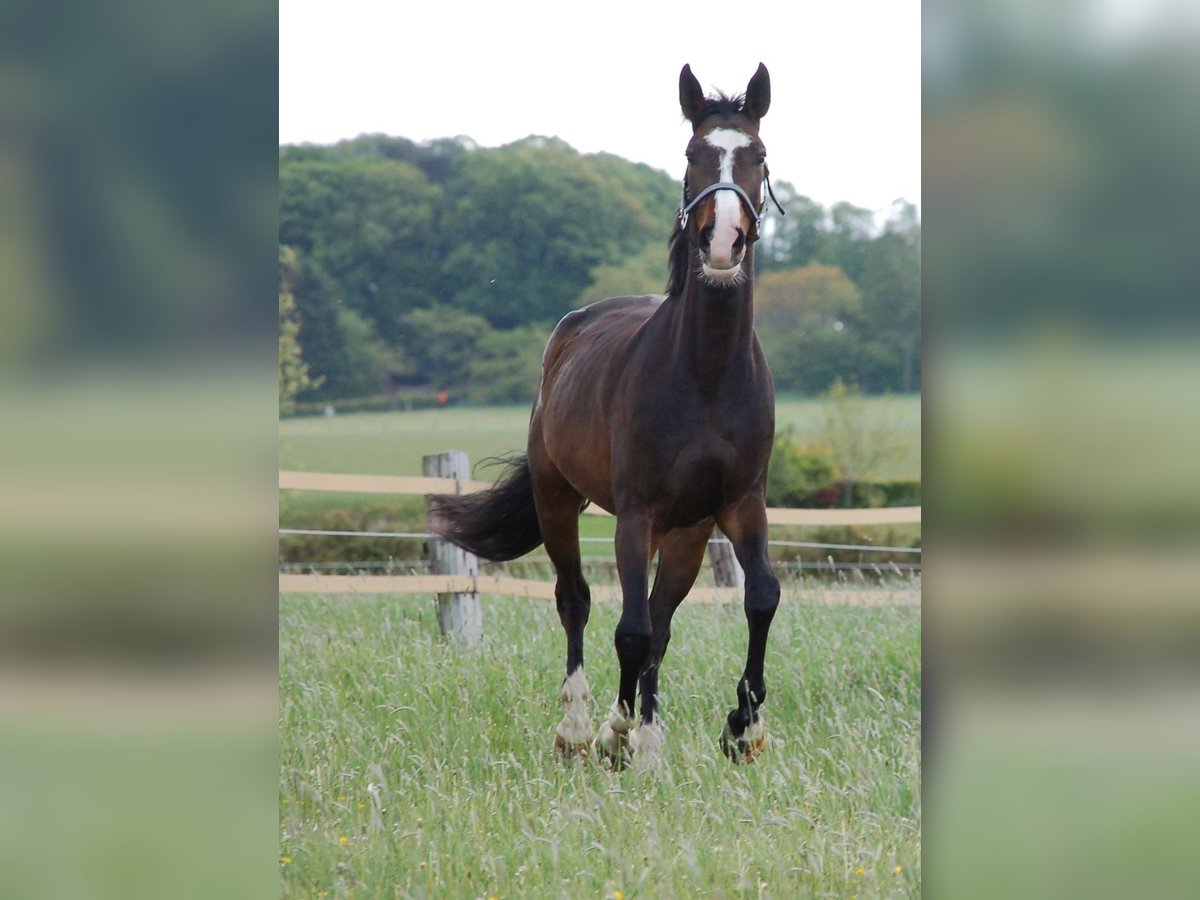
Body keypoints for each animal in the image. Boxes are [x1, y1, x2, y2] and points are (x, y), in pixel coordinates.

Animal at [429, 61, 777, 768]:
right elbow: (630, 629)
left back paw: (649, 735)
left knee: (662, 618)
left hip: (686, 533)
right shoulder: (636, 513)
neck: (707, 375)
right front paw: (616, 733)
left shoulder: (738, 503)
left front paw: (742, 728)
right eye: (693, 155)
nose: (722, 243)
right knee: (578, 602)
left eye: (756, 155)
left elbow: (757, 599)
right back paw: (579, 729)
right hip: (559, 499)